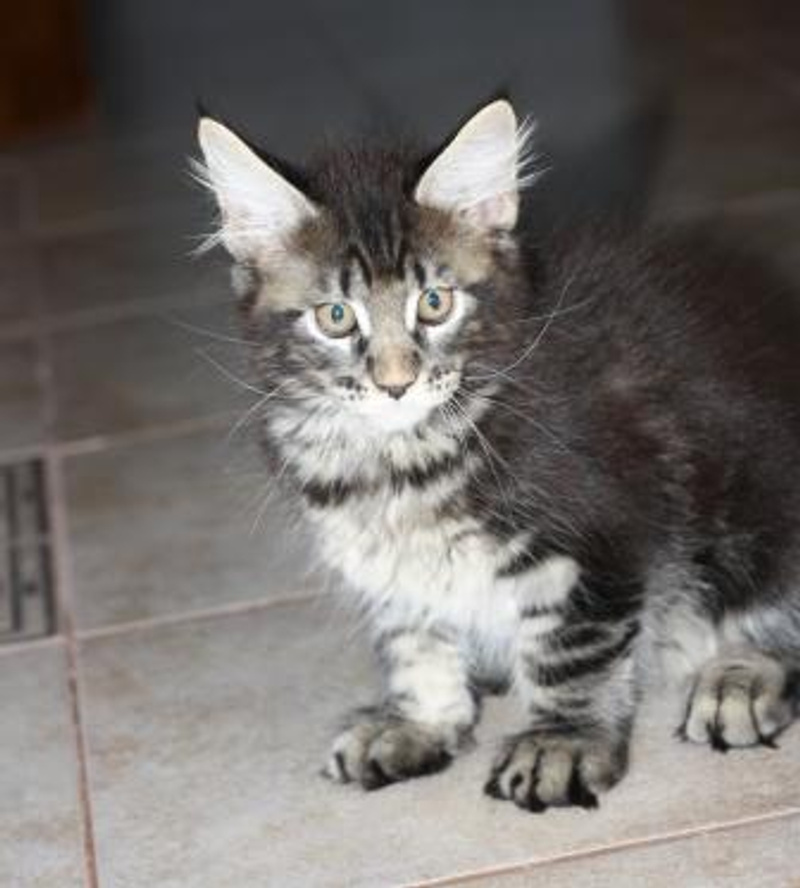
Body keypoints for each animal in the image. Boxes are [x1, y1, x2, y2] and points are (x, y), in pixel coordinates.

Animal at [195, 98, 800, 812]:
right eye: (336, 317)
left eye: (435, 303)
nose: (396, 382)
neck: (399, 461)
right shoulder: (388, 568)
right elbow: (414, 641)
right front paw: (417, 723)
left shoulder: (590, 536)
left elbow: (569, 655)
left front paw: (560, 744)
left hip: (755, 514)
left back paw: (738, 678)